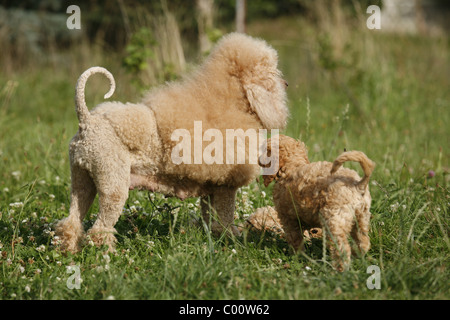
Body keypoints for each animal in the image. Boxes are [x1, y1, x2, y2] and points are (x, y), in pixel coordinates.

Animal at [55, 32, 288, 252]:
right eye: (271, 71)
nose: (286, 83)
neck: (229, 100)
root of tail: (87, 121)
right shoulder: (226, 186)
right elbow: (225, 217)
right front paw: (232, 239)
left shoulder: (212, 186)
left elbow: (210, 218)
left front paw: (214, 238)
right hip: (112, 183)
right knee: (100, 229)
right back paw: (107, 254)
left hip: (82, 180)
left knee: (71, 222)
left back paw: (69, 251)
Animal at [258, 134, 374, 272]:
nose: (257, 160)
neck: (291, 166)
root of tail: (358, 184)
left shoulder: (288, 219)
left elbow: (295, 239)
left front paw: (296, 256)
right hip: (361, 217)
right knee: (363, 241)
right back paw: (356, 255)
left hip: (334, 219)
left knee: (341, 247)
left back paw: (339, 270)